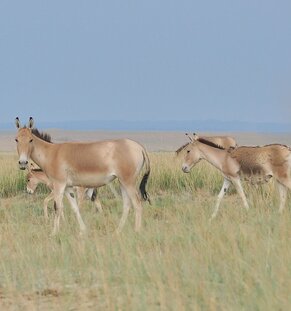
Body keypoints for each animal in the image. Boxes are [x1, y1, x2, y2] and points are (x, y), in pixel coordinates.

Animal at [15, 118, 152, 235]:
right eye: (16, 139)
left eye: (30, 139)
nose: (23, 163)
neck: (52, 153)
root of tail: (139, 147)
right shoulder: (68, 188)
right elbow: (75, 208)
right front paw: (83, 230)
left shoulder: (58, 186)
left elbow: (57, 207)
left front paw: (53, 233)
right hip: (122, 182)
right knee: (127, 205)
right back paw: (117, 232)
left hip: (128, 182)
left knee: (137, 204)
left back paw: (136, 231)